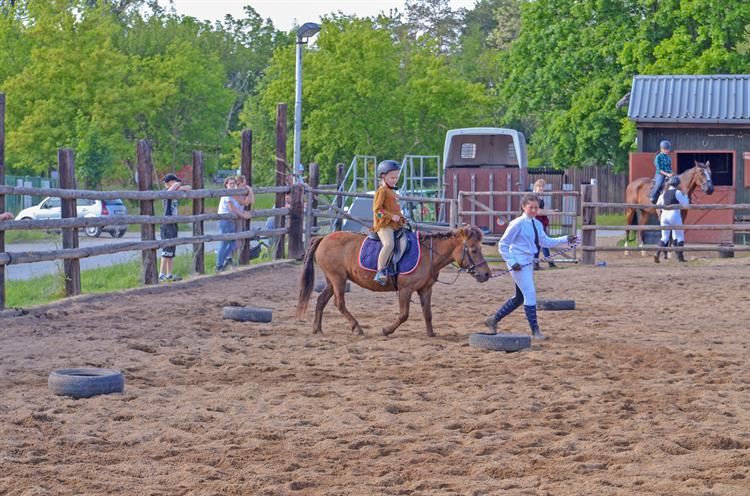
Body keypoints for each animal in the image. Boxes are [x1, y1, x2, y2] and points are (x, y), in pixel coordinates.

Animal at [300, 226, 494, 338]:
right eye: (474, 250)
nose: (486, 274)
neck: (429, 254)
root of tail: (323, 238)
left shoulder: (425, 289)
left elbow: (428, 313)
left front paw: (431, 333)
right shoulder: (405, 290)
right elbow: (404, 315)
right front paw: (386, 330)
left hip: (332, 281)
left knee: (321, 300)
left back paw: (317, 329)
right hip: (338, 279)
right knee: (339, 303)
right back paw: (357, 328)